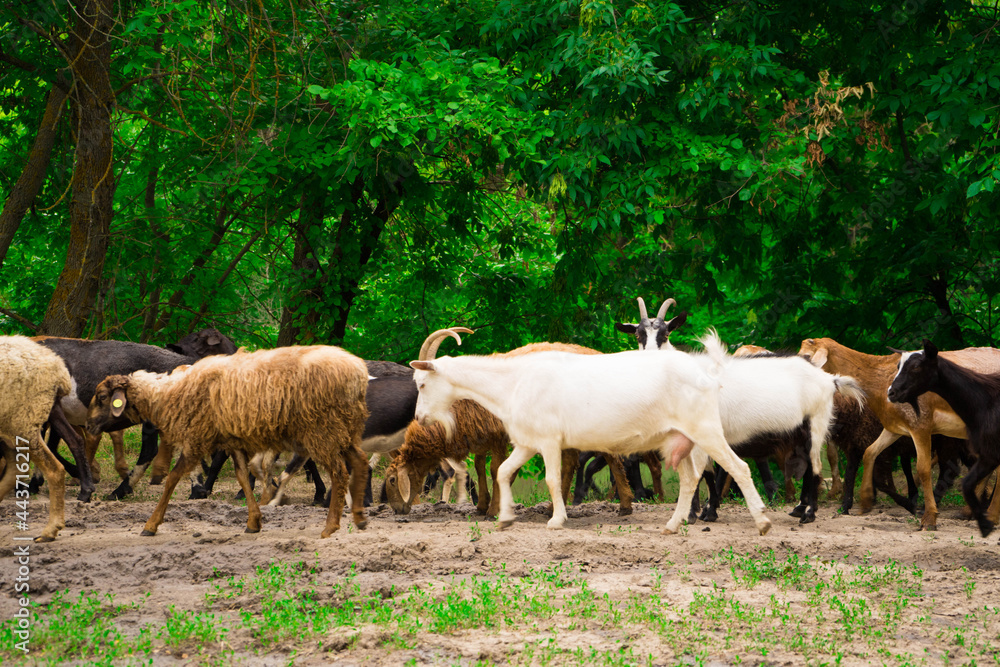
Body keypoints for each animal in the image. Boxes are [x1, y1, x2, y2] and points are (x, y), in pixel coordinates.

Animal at [87, 348, 372, 540]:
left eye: (101, 397)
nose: (88, 427)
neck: (168, 395)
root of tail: (358, 372)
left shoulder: (197, 438)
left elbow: (173, 478)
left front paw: (151, 525)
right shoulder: (230, 439)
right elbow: (243, 477)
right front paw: (253, 522)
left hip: (323, 429)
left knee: (340, 472)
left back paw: (330, 527)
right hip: (344, 428)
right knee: (360, 462)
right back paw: (359, 518)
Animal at [796, 340, 1000, 532]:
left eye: (807, 356)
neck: (879, 378)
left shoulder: (920, 427)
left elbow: (923, 469)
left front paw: (929, 518)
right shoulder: (894, 428)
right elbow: (870, 453)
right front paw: (866, 501)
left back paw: (988, 513)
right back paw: (973, 512)